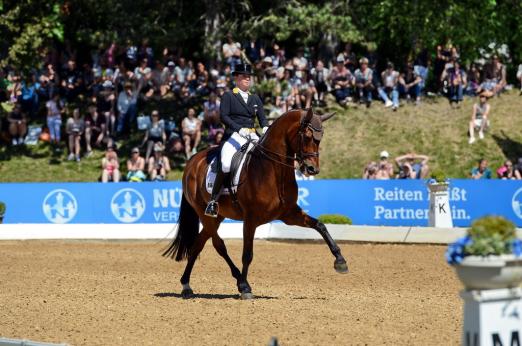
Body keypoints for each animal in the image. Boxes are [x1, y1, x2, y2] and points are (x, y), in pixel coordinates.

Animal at [162, 109, 348, 300]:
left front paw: (340, 261)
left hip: (217, 217)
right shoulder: (250, 219)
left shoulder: (289, 214)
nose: (312, 169)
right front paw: (245, 288)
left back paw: (186, 285)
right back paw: (237, 281)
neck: (274, 171)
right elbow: (247, 254)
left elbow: (320, 225)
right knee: (218, 245)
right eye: (307, 136)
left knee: (197, 245)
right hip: (204, 213)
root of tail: (192, 161)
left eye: (321, 137)